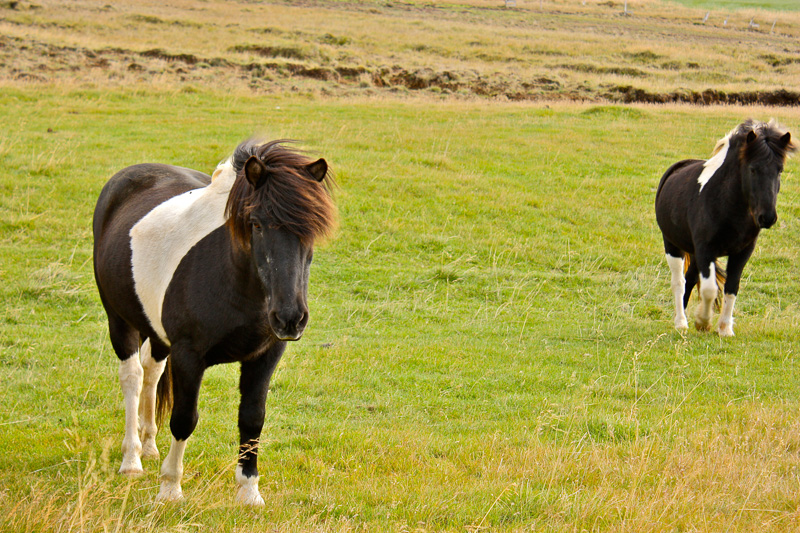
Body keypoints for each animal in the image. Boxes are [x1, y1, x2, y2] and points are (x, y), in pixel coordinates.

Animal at [92, 139, 336, 505]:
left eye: (312, 229)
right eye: (257, 223)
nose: (290, 318)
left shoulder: (266, 355)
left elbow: (252, 419)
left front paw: (249, 490)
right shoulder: (188, 355)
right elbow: (184, 419)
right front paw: (170, 488)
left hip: (158, 333)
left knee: (151, 372)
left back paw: (148, 446)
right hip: (119, 320)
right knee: (132, 377)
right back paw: (132, 459)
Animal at [655, 119, 794, 336]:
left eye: (779, 170)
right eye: (753, 169)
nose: (767, 217)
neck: (727, 205)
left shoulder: (742, 252)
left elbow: (731, 287)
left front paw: (725, 328)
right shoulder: (706, 250)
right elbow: (709, 289)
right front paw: (703, 321)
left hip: (694, 253)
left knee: (690, 278)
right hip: (672, 245)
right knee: (679, 282)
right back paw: (681, 322)